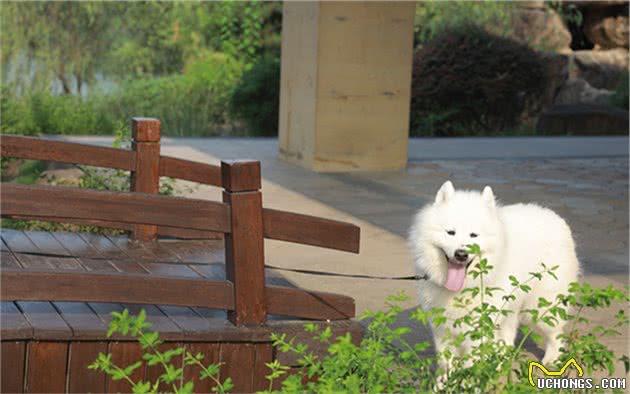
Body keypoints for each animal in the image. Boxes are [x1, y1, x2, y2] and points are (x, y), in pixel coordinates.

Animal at [410, 180, 584, 364]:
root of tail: (556, 218)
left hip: (539, 307)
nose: (461, 254)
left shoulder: (479, 324)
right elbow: (446, 361)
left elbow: (471, 362)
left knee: (555, 333)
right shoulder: (442, 327)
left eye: (474, 235)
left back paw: (552, 358)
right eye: (450, 232)